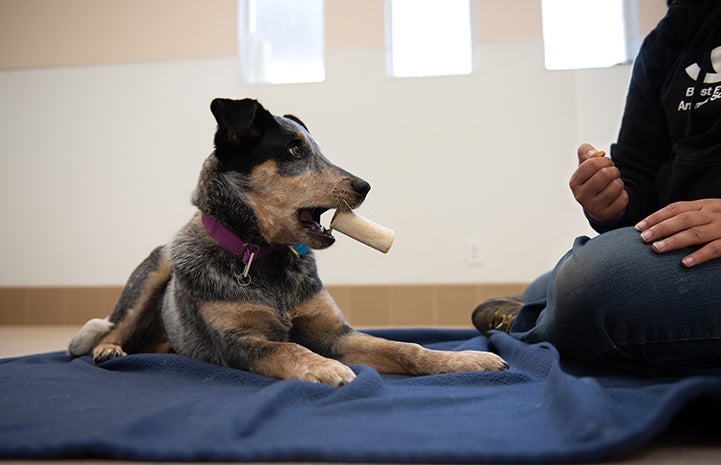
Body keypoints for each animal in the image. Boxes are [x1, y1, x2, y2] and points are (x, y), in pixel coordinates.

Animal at [67, 98, 506, 384]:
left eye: (319, 150)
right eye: (294, 149)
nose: (365, 186)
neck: (263, 257)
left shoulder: (334, 334)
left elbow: (405, 348)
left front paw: (467, 360)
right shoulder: (240, 341)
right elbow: (287, 348)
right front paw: (325, 368)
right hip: (155, 269)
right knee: (116, 323)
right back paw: (110, 349)